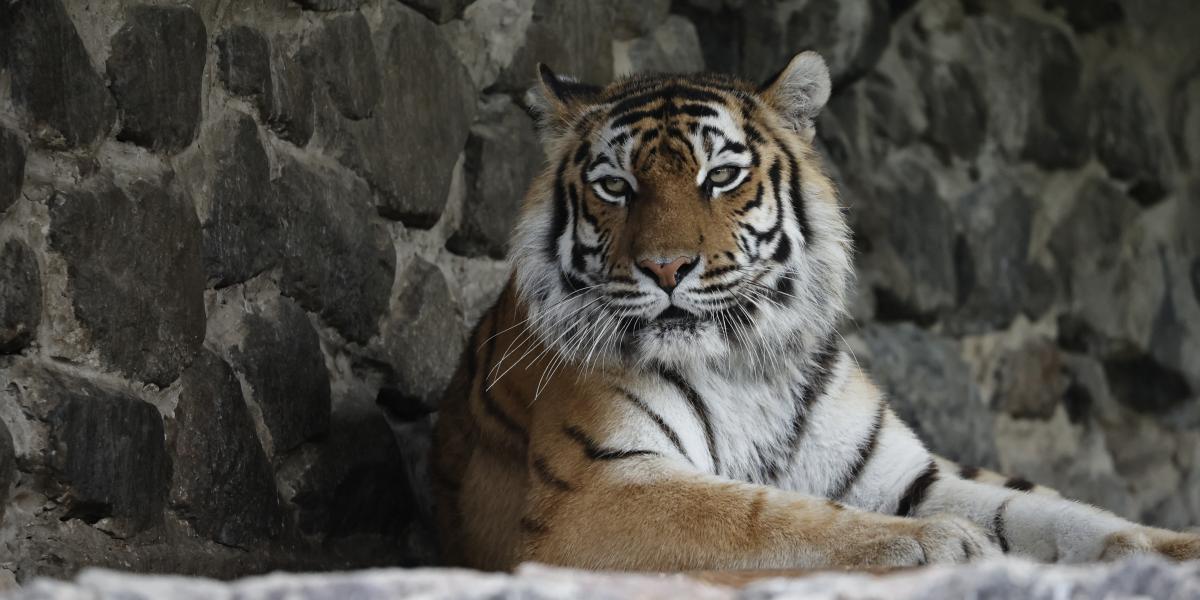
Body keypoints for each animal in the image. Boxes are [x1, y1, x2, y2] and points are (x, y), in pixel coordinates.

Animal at [436, 51, 1200, 571]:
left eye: (721, 176)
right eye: (616, 187)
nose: (666, 268)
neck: (741, 363)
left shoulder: (906, 477)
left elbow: (1056, 515)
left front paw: (1163, 547)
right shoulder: (597, 486)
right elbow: (763, 514)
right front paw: (944, 543)